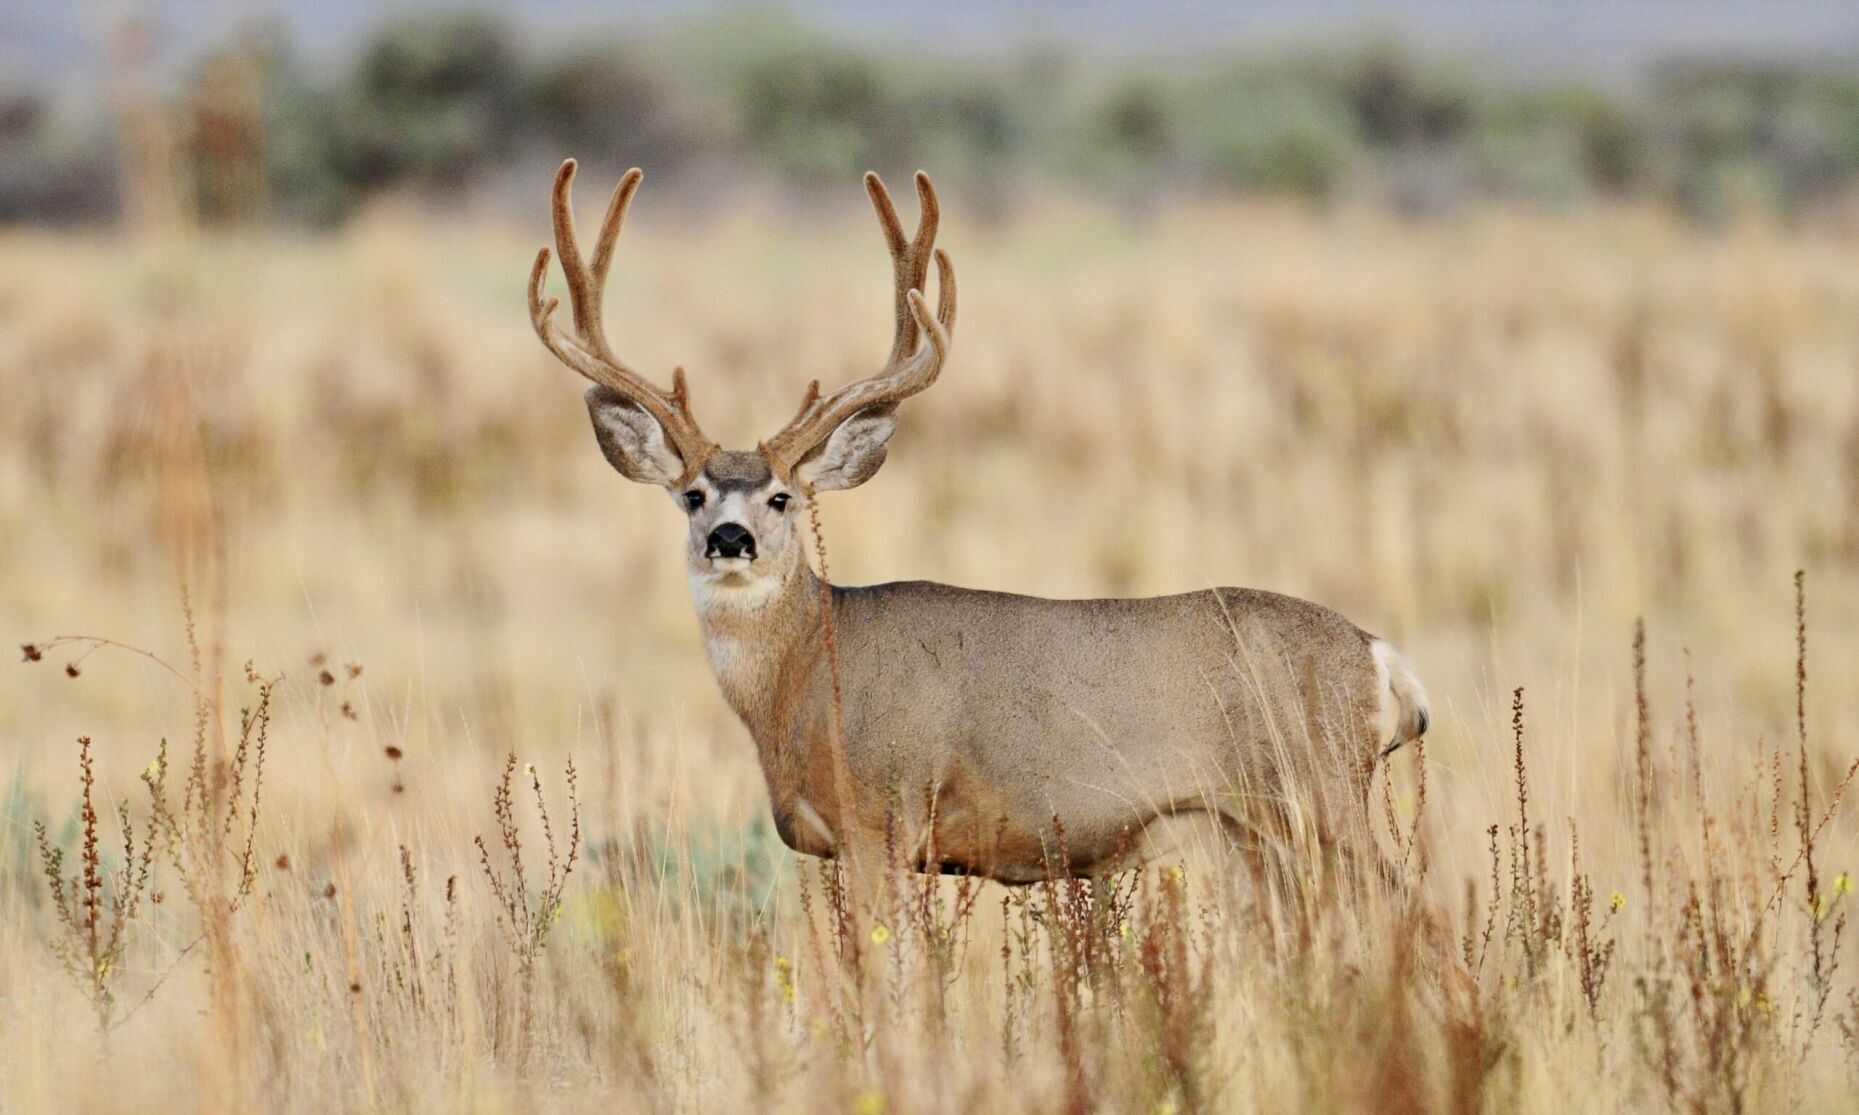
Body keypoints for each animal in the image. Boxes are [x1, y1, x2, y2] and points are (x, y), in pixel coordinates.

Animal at [531, 160, 1427, 903]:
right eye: (691, 493)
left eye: (781, 497)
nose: (728, 538)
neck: (806, 672)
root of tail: (1376, 654)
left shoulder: (883, 816)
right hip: (1253, 832)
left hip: (1318, 792)